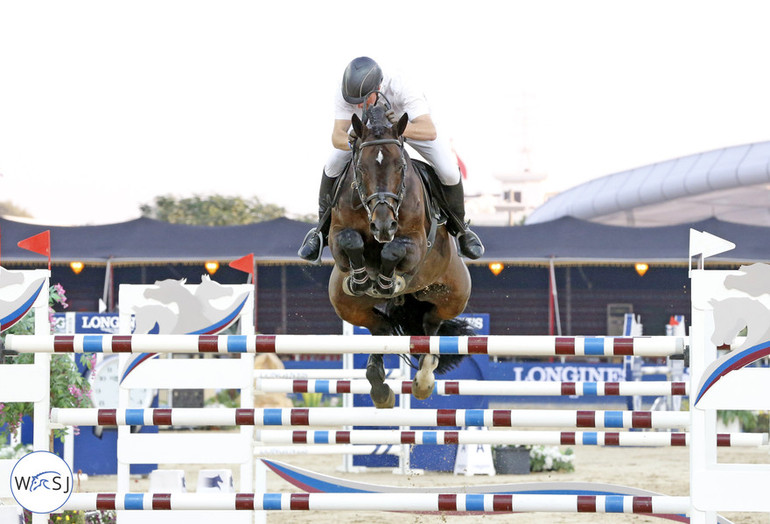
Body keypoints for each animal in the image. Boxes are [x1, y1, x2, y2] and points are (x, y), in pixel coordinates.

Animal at [326, 99, 472, 410]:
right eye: (361, 167)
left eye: (401, 165)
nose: (384, 224)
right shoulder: (337, 237)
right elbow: (349, 240)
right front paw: (362, 279)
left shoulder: (416, 243)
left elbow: (394, 249)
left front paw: (387, 280)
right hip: (347, 305)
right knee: (380, 329)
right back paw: (380, 387)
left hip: (452, 297)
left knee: (431, 327)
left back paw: (424, 382)